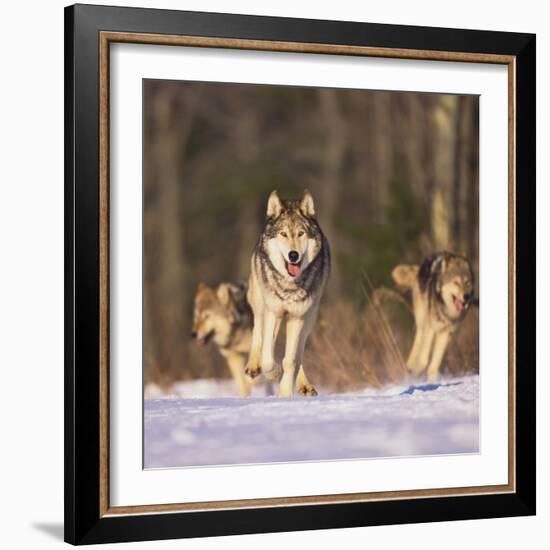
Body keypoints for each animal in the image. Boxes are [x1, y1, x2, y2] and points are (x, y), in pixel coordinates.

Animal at [247, 190, 332, 396]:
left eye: (301, 234)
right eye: (283, 234)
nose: (293, 255)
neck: (290, 286)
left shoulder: (297, 316)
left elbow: (291, 360)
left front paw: (285, 393)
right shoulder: (274, 312)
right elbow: (267, 357)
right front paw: (273, 373)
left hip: (310, 317)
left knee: (298, 354)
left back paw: (304, 385)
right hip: (259, 302)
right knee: (258, 331)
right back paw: (253, 366)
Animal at [394, 251, 476, 384]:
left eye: (468, 282)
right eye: (456, 282)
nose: (466, 296)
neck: (446, 311)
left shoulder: (446, 332)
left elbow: (434, 365)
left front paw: (432, 383)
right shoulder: (431, 329)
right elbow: (423, 360)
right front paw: (414, 378)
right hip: (423, 322)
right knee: (418, 341)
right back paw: (410, 367)